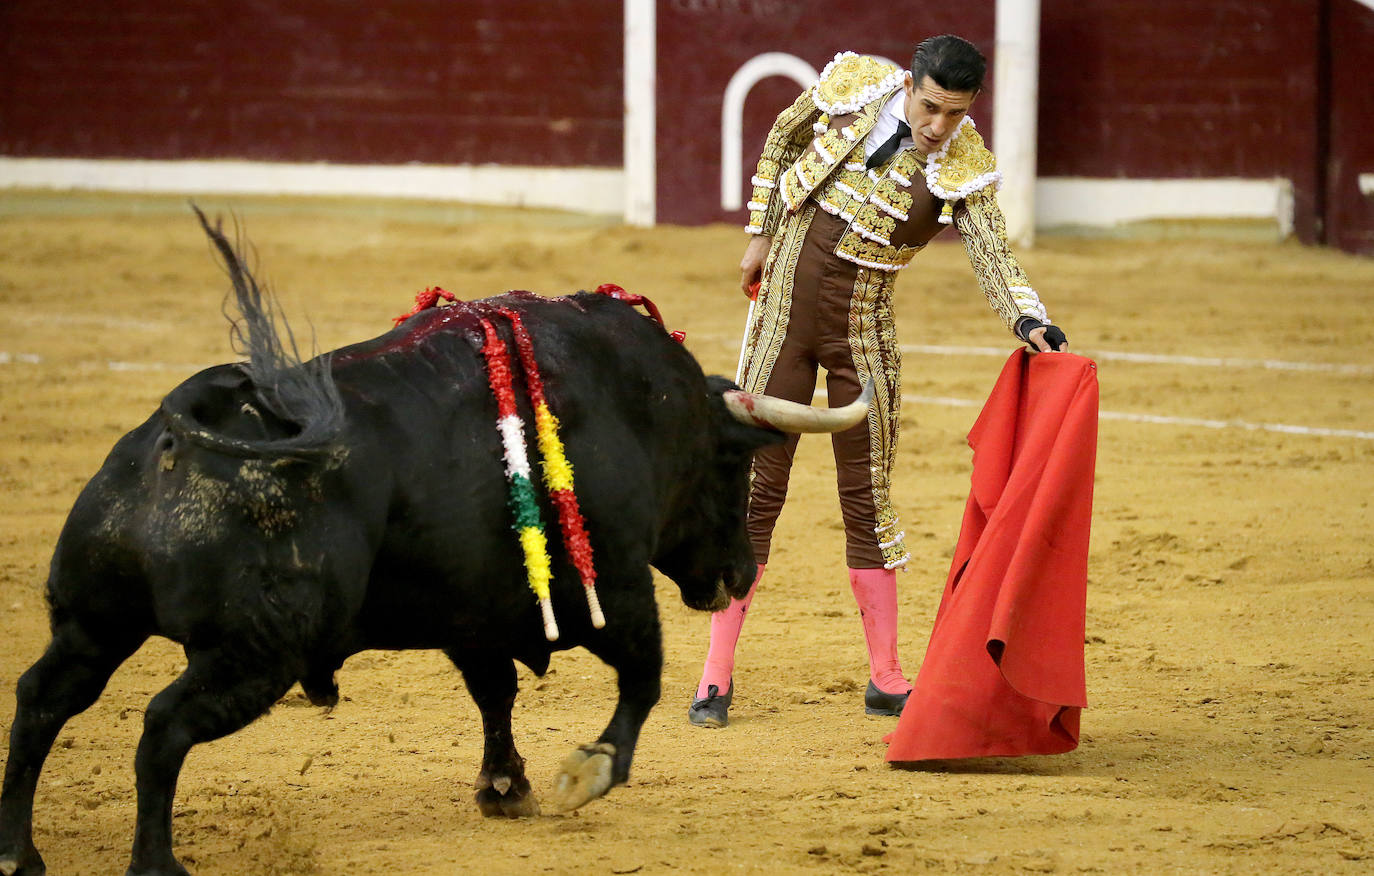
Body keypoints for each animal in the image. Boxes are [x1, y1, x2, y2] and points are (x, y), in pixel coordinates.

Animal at [0, 218, 868, 876]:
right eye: (732, 463)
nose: (741, 573)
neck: (637, 399)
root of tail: (179, 430)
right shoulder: (614, 585)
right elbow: (641, 680)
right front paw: (583, 773)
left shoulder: (472, 610)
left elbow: (495, 693)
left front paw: (505, 788)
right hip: (255, 654)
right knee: (161, 728)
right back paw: (155, 863)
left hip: (94, 621)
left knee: (44, 697)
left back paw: (20, 853)